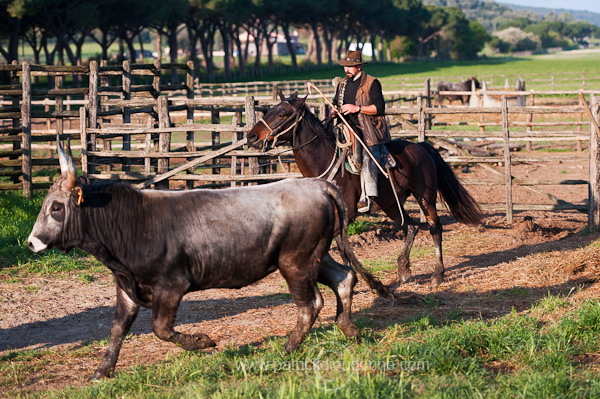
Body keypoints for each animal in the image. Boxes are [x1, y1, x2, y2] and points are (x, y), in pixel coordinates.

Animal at [245, 93, 482, 288]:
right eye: (270, 110)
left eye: (282, 113)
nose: (251, 137)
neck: (325, 162)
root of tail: (421, 146)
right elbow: (341, 248)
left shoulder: (346, 215)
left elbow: (340, 247)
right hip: (391, 203)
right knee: (411, 227)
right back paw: (404, 270)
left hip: (425, 197)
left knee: (435, 228)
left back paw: (437, 275)